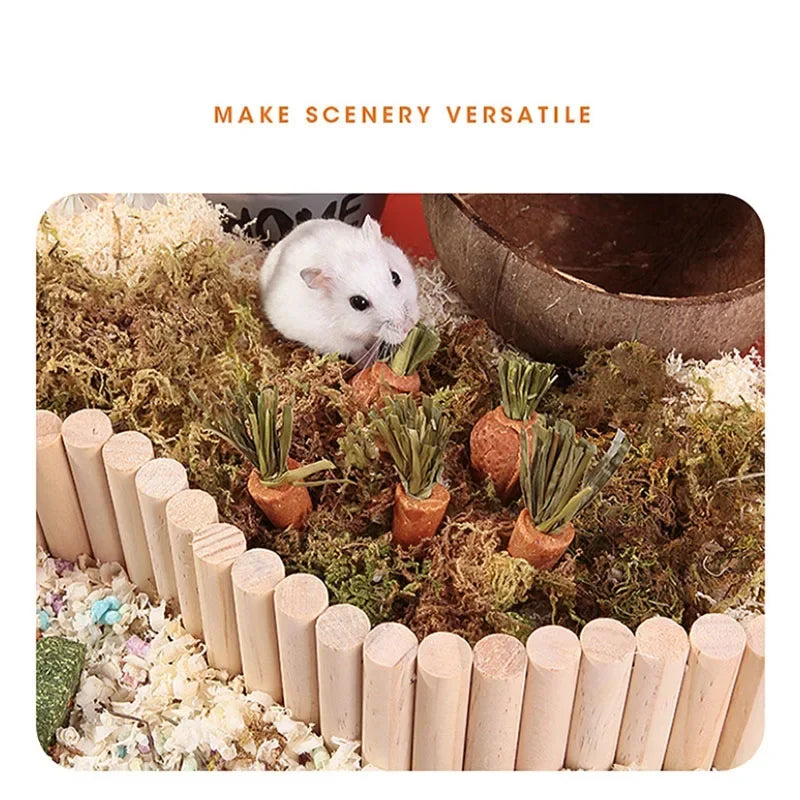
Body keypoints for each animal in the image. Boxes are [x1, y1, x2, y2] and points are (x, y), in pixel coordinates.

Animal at [259, 215, 420, 363]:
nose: (408, 326)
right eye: (358, 303)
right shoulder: (335, 341)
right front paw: (370, 361)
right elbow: (356, 350)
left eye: (395, 277)